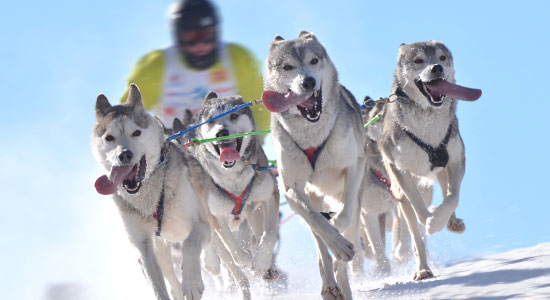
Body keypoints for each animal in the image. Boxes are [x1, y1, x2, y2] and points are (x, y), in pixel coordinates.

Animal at [90, 84, 211, 300]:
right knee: (171, 279)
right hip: (161, 249)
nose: (124, 155)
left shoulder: (200, 225)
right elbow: (158, 286)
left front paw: (192, 282)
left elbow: (190, 245)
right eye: (109, 138)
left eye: (136, 132)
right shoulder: (143, 247)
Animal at [182, 92, 280, 298]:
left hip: (255, 213)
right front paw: (245, 259)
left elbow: (270, 234)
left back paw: (268, 267)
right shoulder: (215, 216)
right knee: (235, 272)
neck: (234, 179)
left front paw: (261, 262)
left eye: (234, 115)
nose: (221, 132)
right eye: (211, 120)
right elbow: (232, 248)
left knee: (258, 236)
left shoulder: (270, 195)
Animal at [264, 31, 366, 298]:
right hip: (311, 196)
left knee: (347, 236)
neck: (313, 134)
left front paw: (338, 227)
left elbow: (344, 215)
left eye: (314, 61)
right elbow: (315, 220)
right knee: (320, 244)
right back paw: (330, 282)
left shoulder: (355, 166)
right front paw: (335, 241)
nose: (308, 82)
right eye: (287, 67)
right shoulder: (292, 187)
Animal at [380, 41, 484, 280]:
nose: (437, 68)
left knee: (447, 195)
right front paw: (431, 221)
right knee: (415, 235)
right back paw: (423, 269)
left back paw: (452, 221)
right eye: (418, 60)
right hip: (401, 192)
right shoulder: (399, 168)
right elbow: (419, 210)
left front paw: (439, 219)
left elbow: (453, 197)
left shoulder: (455, 160)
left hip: (441, 171)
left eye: (442, 57)